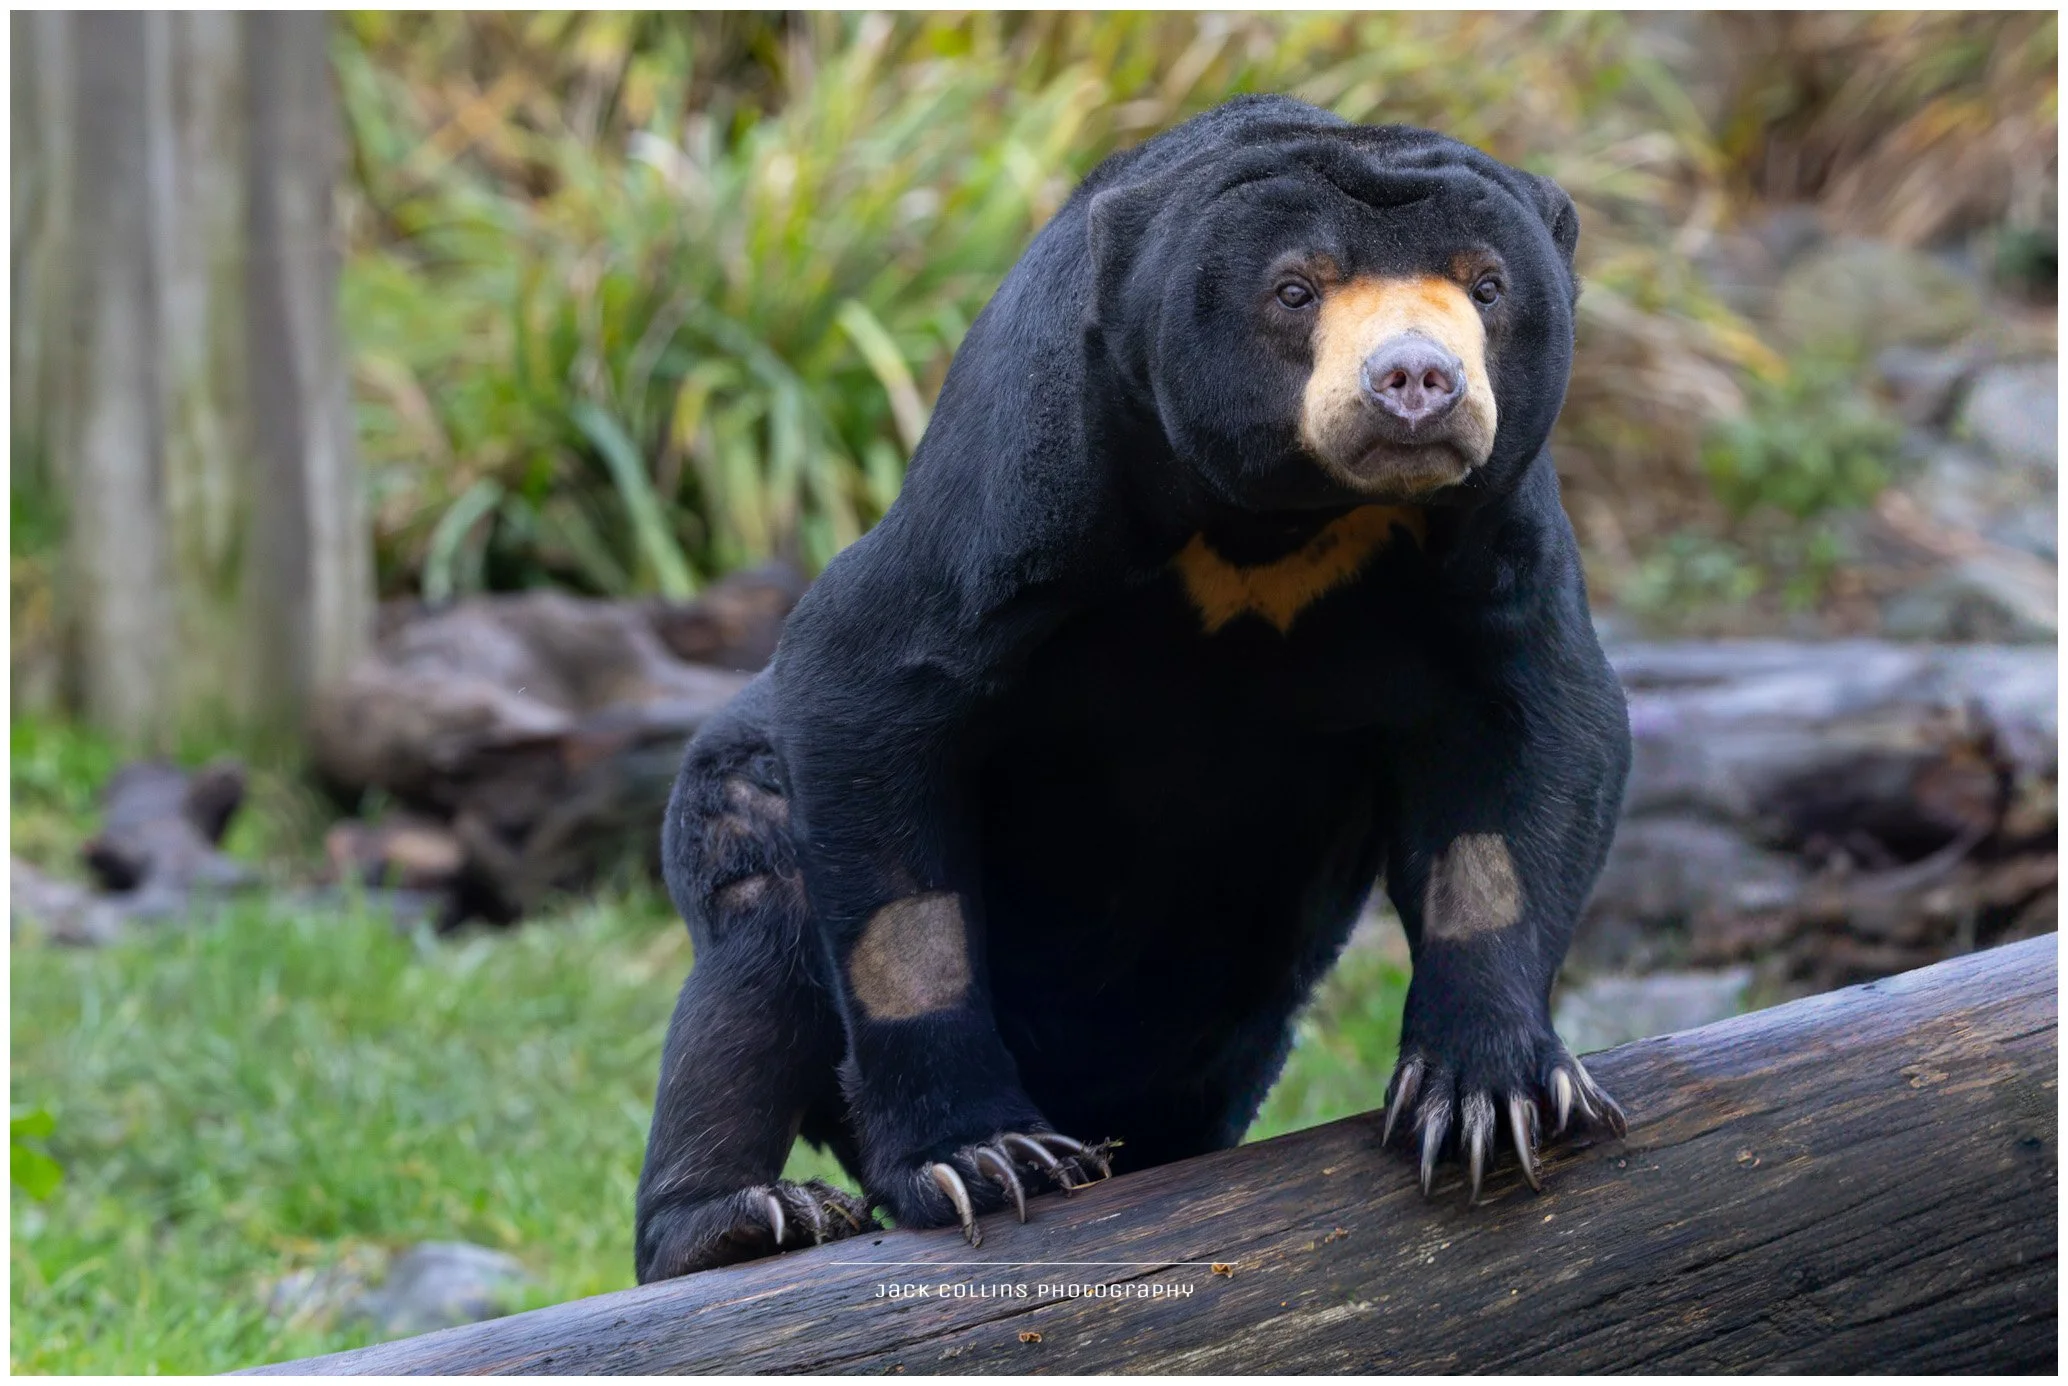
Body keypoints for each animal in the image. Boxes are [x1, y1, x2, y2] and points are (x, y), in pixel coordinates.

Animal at [633, 93, 1631, 1283]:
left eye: (1485, 286)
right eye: (1294, 290)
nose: (1416, 382)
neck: (1280, 522)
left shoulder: (1492, 527)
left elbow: (1533, 739)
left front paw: (1488, 1096)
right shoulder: (1034, 479)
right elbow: (871, 690)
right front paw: (981, 1158)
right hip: (742, 781)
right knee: (757, 946)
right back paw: (739, 1216)